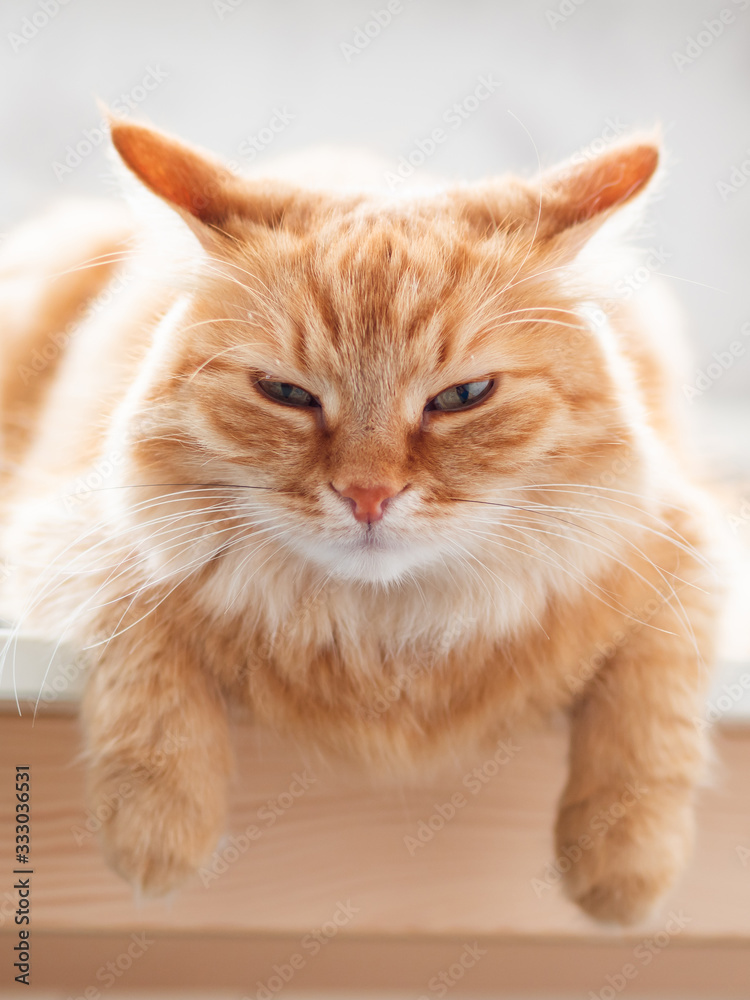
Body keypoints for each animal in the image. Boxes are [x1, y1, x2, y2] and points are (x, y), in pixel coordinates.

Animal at [0, 115, 724, 920]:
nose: (367, 495)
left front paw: (623, 867)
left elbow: (652, 709)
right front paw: (159, 830)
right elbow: (144, 652)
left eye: (462, 396)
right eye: (287, 393)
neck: (383, 637)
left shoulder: (682, 544)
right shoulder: (65, 538)